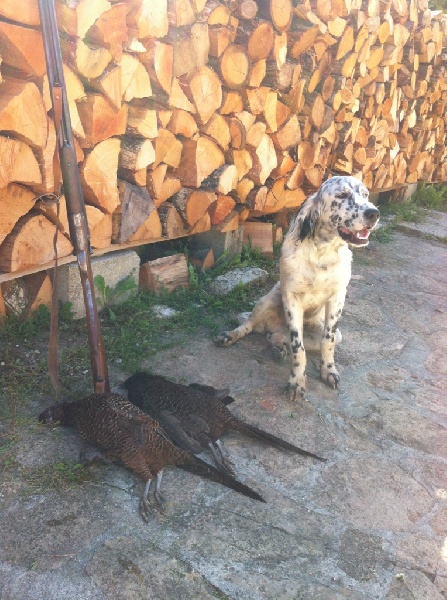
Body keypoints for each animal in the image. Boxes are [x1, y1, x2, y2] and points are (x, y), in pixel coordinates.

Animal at [216, 176, 380, 400]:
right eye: (342, 195)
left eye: (365, 194)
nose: (374, 213)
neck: (322, 253)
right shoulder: (291, 298)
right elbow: (298, 347)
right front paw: (296, 381)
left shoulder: (337, 298)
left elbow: (327, 342)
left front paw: (328, 371)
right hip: (267, 300)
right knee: (249, 325)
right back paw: (232, 336)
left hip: (335, 333)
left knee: (276, 337)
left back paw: (278, 348)